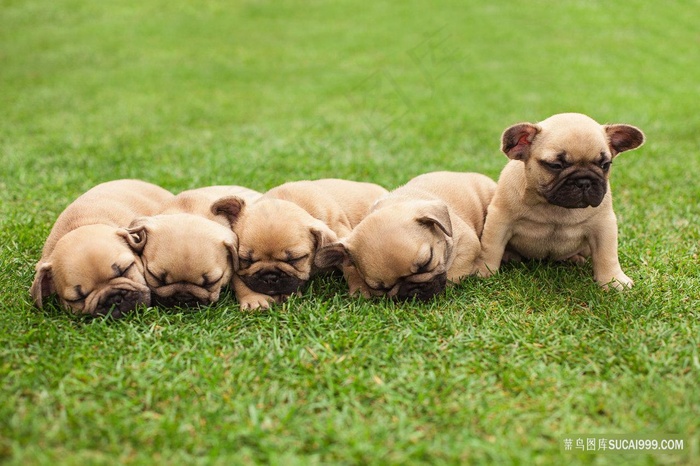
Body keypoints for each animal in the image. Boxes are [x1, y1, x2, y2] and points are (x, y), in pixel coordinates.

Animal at [213, 178, 388, 310]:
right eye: (246, 260)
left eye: (295, 259)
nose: (270, 277)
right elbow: (238, 280)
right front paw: (253, 299)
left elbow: (351, 266)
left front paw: (360, 289)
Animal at [476, 111, 644, 290]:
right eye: (556, 165)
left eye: (605, 164)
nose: (584, 181)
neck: (555, 206)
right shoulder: (500, 220)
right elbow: (491, 247)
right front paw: (484, 271)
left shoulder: (603, 225)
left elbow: (607, 254)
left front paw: (613, 280)